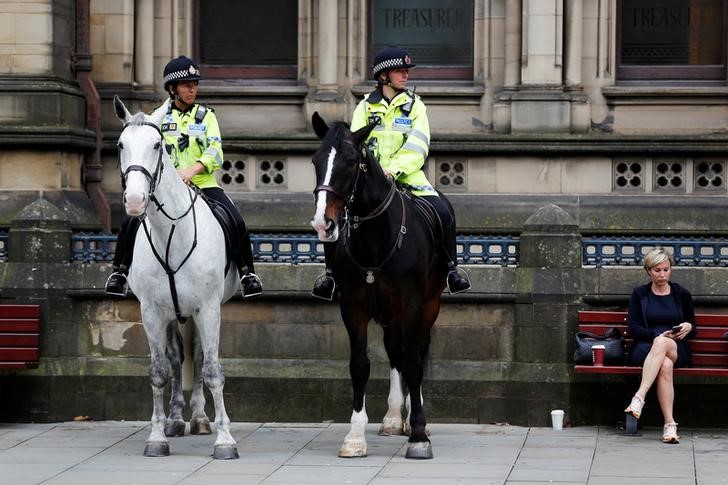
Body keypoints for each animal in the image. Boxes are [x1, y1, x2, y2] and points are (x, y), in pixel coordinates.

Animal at [114, 94, 239, 458]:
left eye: (157, 145)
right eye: (120, 145)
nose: (135, 200)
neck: (171, 233)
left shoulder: (208, 308)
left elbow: (211, 369)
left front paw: (225, 439)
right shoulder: (152, 312)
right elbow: (159, 370)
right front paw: (157, 435)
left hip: (199, 312)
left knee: (197, 357)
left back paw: (199, 418)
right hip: (173, 314)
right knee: (176, 358)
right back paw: (176, 419)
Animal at [308, 110, 446, 458]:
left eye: (350, 161)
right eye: (316, 160)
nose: (322, 223)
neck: (375, 239)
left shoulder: (412, 305)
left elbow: (414, 361)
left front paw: (419, 434)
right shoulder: (353, 307)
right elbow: (360, 365)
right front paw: (355, 437)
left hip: (429, 304)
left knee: (416, 352)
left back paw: (413, 420)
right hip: (388, 314)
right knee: (396, 351)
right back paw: (395, 417)